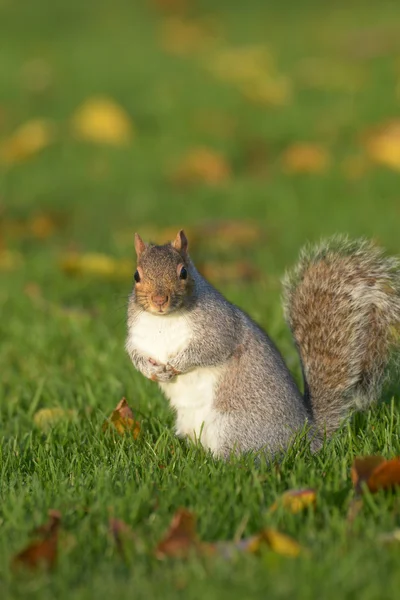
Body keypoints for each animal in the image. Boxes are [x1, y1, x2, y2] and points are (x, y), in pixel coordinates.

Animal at [126, 232, 400, 458]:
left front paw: (176, 365)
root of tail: (307, 435)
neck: (164, 321)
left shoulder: (220, 327)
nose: (159, 300)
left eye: (183, 273)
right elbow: (135, 355)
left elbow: (210, 349)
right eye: (136, 275)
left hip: (233, 426)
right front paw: (153, 371)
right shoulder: (136, 336)